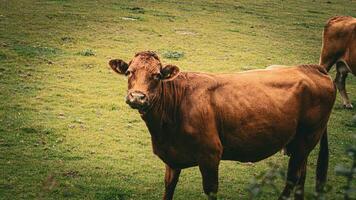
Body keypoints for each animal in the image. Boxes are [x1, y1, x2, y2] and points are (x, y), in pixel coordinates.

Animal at [108, 51, 334, 200]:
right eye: (129, 72)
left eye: (157, 75)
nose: (137, 97)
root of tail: (312, 68)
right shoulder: (172, 158)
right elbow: (169, 187)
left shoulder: (210, 154)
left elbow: (210, 190)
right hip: (300, 143)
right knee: (301, 175)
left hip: (307, 138)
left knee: (292, 177)